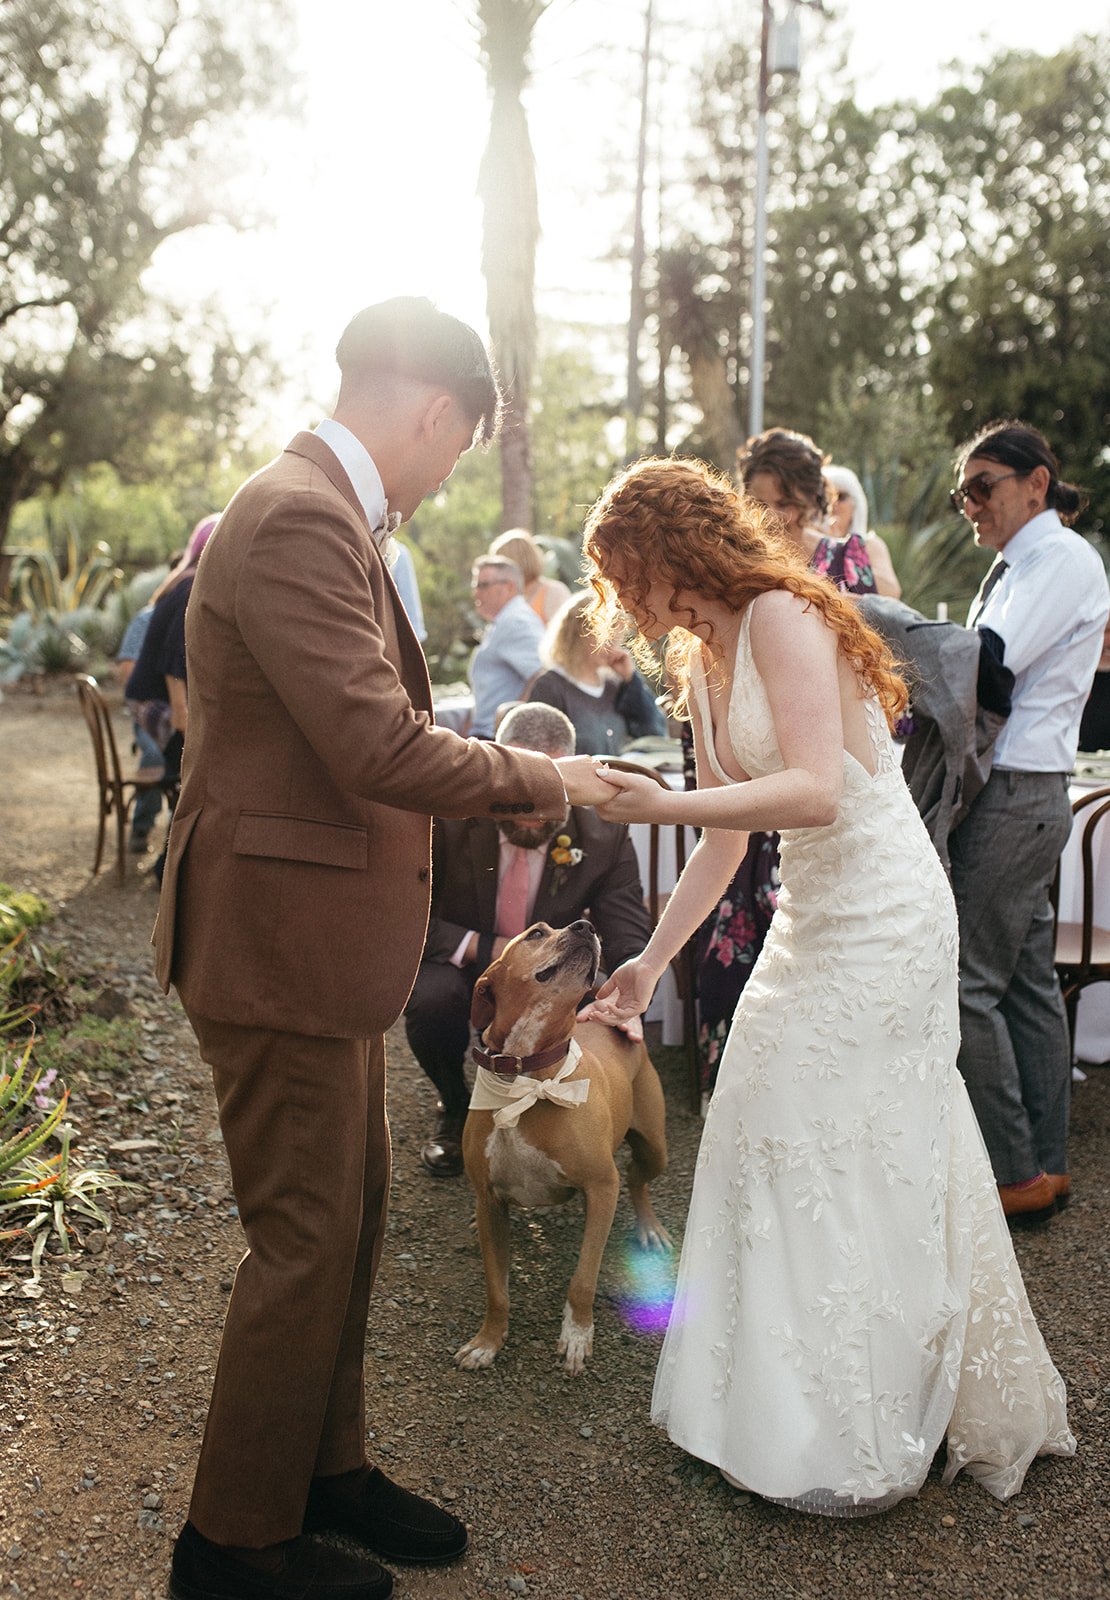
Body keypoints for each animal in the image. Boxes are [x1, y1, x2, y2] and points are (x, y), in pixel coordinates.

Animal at [451, 921, 668, 1382]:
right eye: (535, 932)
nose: (586, 925)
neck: (527, 1077)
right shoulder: (490, 1200)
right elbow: (496, 1291)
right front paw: (487, 1342)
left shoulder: (602, 1187)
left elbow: (583, 1279)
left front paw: (577, 1335)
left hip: (654, 1147)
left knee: (637, 1180)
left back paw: (649, 1228)